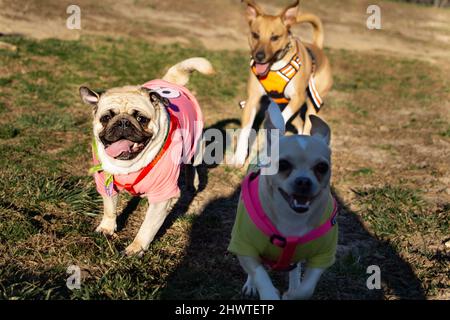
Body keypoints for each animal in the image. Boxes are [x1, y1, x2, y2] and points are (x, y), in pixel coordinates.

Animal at [79, 58, 214, 256]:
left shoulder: (162, 197)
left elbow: (147, 227)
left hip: (194, 144)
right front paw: (107, 228)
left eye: (141, 119)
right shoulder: (107, 184)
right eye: (106, 118)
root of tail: (170, 81)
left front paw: (136, 248)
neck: (128, 165)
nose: (123, 122)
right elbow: (109, 209)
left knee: (191, 165)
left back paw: (192, 183)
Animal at [229, 102, 338, 300]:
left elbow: (307, 288)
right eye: (283, 165)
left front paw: (293, 294)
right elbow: (259, 274)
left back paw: (293, 285)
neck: (292, 218)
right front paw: (267, 292)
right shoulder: (243, 245)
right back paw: (250, 285)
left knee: (294, 269)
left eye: (322, 167)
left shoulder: (323, 256)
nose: (303, 181)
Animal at [234, 1, 332, 168]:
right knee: (299, 125)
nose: (259, 56)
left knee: (306, 125)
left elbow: (281, 118)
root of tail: (318, 48)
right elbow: (246, 129)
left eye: (275, 37)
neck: (274, 67)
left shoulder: (298, 98)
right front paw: (239, 157)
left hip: (312, 105)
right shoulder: (252, 100)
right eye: (255, 35)